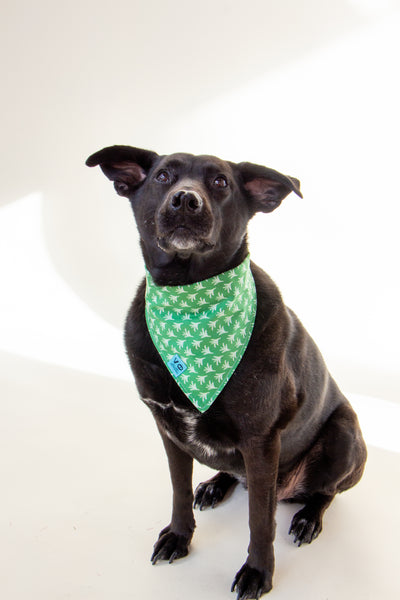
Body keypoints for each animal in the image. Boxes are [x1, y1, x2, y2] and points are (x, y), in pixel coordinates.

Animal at [86, 146, 366, 600]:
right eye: (162, 176)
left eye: (220, 182)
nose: (185, 200)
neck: (190, 298)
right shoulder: (167, 427)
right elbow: (179, 490)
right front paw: (178, 537)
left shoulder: (260, 439)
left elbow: (259, 520)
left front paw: (257, 572)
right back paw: (216, 484)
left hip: (342, 434)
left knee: (325, 491)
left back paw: (308, 517)